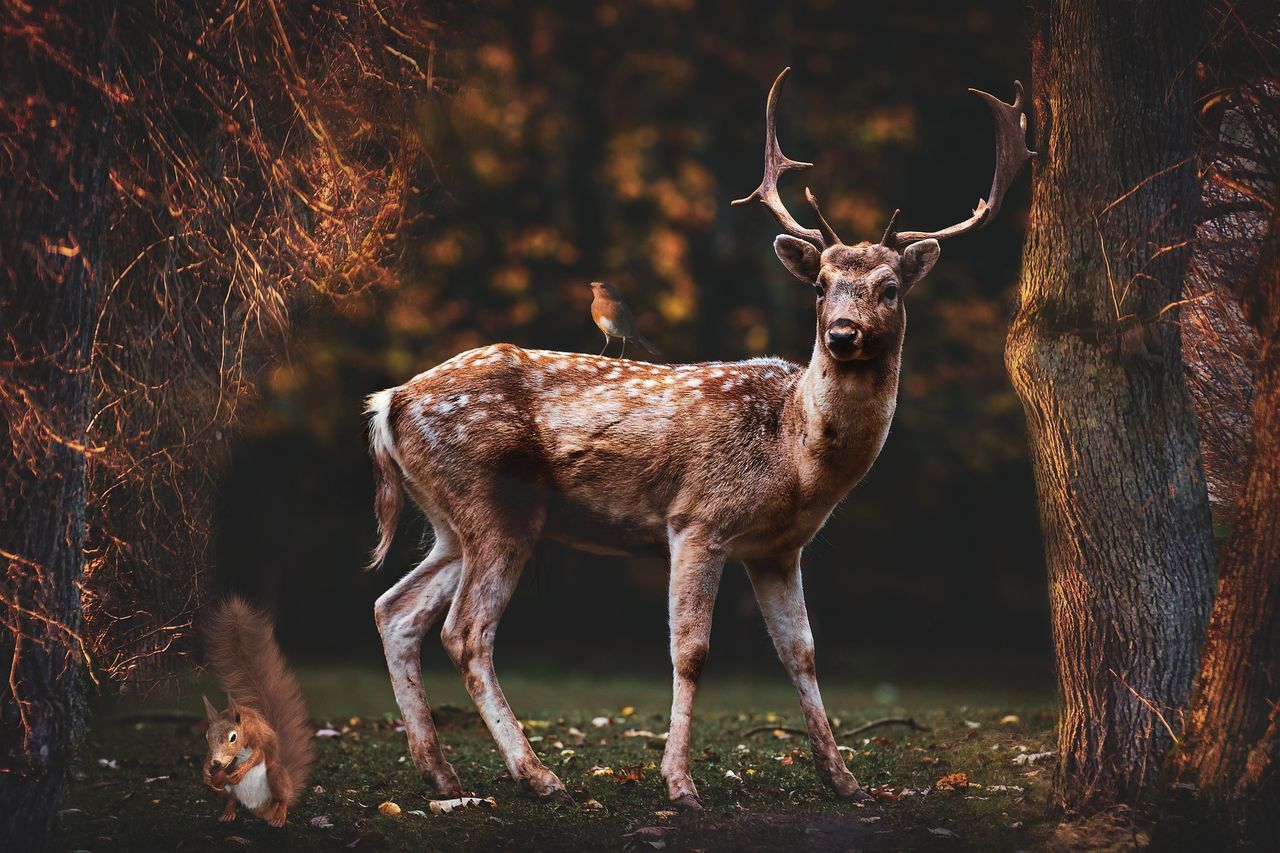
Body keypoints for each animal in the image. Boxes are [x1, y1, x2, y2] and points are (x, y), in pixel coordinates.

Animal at [203, 596, 318, 824]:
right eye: (206, 736)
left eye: (233, 737)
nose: (217, 763)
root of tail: (261, 809)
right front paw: (205, 771)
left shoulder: (259, 737)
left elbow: (258, 752)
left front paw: (241, 769)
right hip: (228, 789)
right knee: (231, 798)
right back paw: (228, 812)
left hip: (276, 777)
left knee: (282, 799)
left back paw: (279, 817)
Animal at [366, 66, 1034, 804]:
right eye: (822, 284)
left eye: (890, 287)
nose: (841, 333)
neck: (794, 456)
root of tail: (388, 403)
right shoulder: (697, 519)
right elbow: (691, 651)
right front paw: (679, 782)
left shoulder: (778, 548)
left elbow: (801, 652)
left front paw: (844, 778)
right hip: (495, 505)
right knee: (465, 631)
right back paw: (539, 775)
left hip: (452, 519)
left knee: (395, 609)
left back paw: (439, 770)